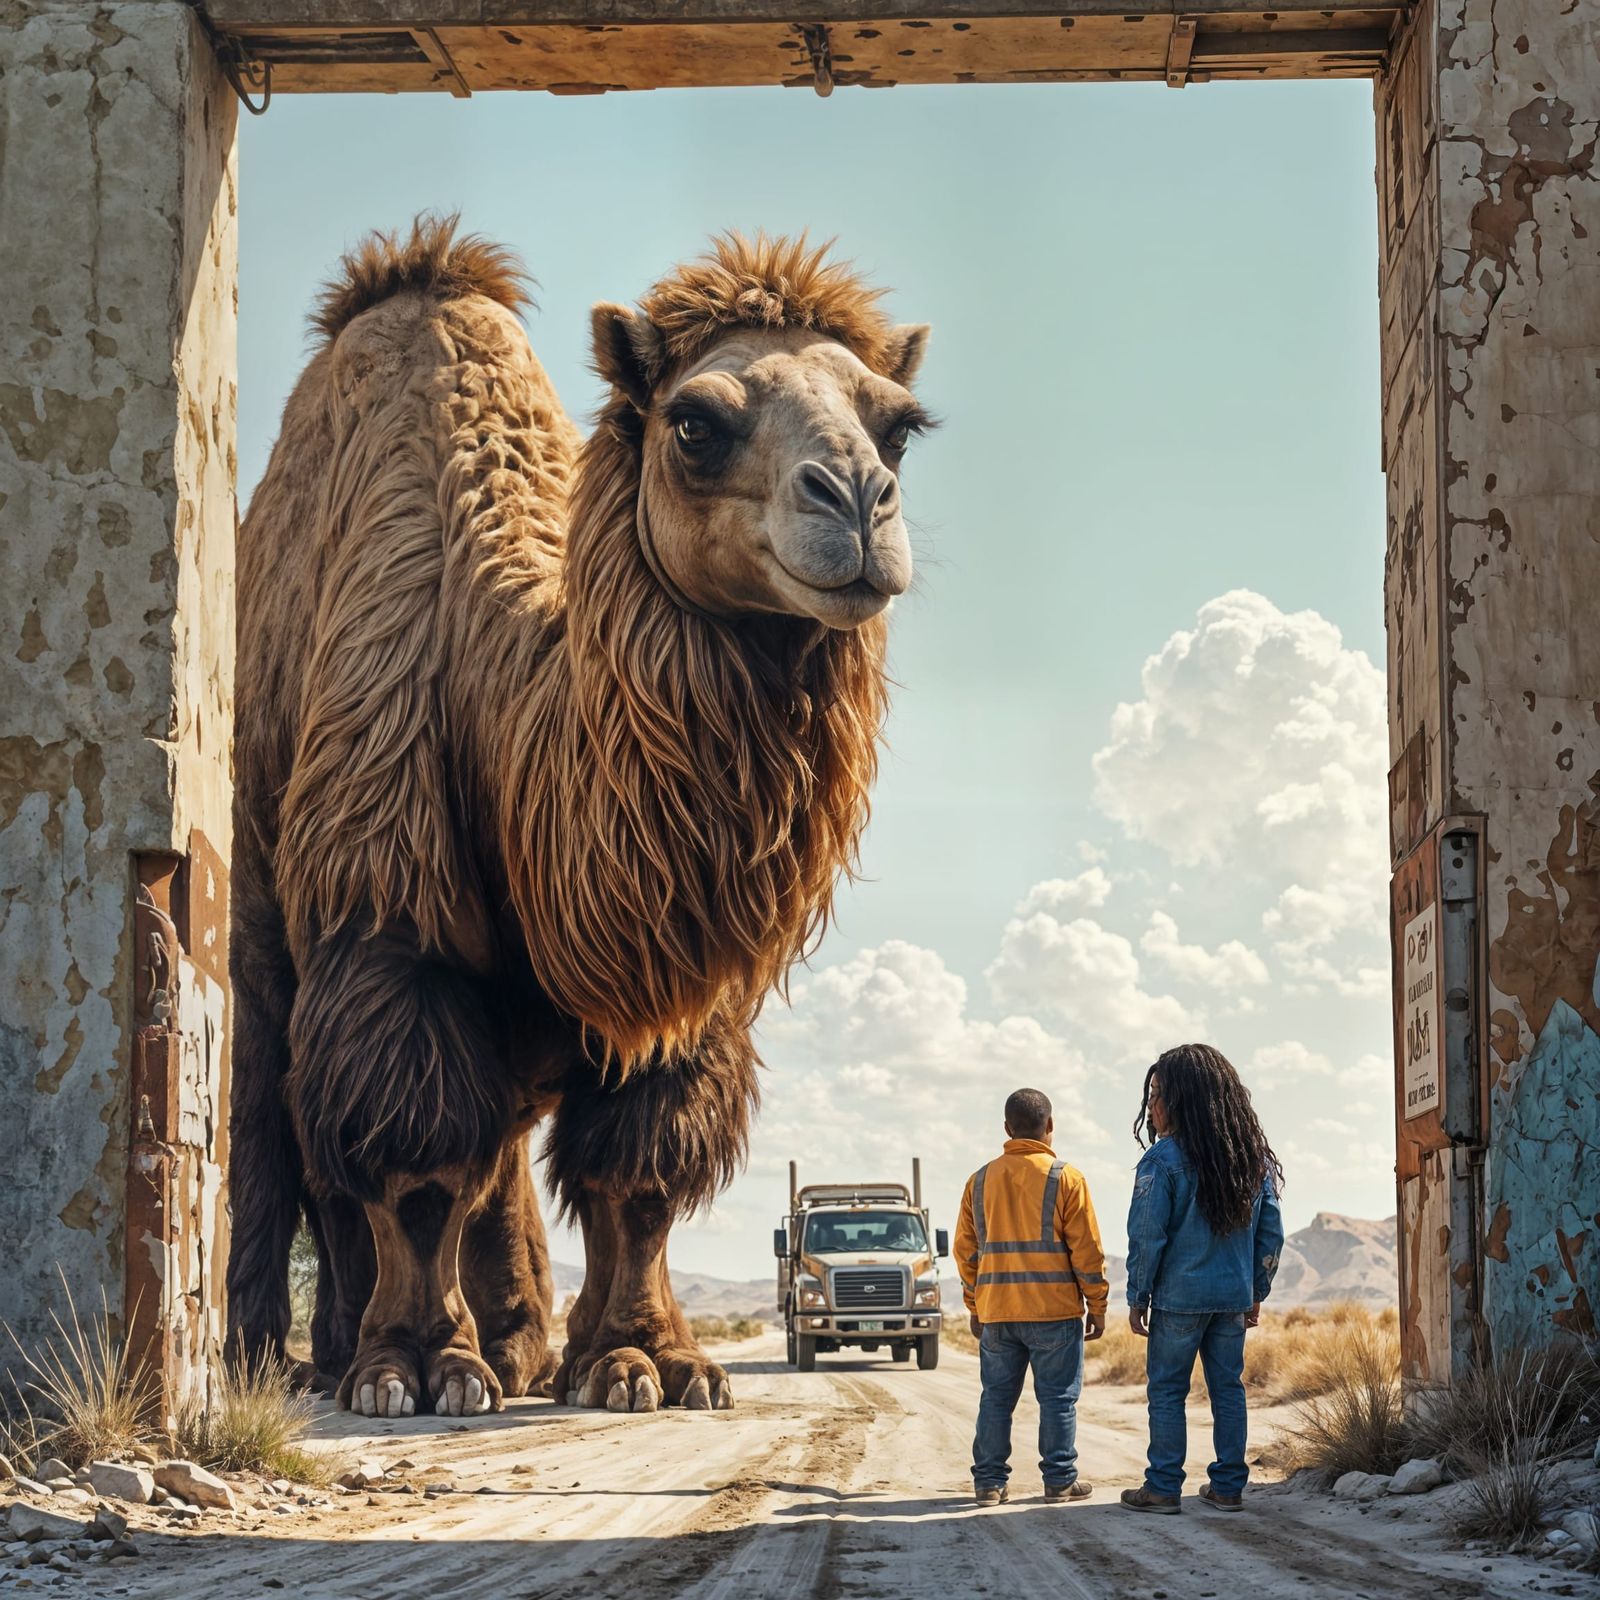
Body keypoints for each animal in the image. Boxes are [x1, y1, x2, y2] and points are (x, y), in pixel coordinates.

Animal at [225, 217, 932, 1417]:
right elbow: (415, 1166)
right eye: (694, 422)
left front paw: (643, 1361)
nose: (857, 501)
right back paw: (286, 1358)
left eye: (900, 425)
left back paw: (511, 1347)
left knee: (482, 1154)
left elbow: (632, 1178)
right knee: (284, 1131)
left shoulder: (674, 977)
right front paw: (417, 1368)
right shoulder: (386, 927)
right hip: (256, 910)